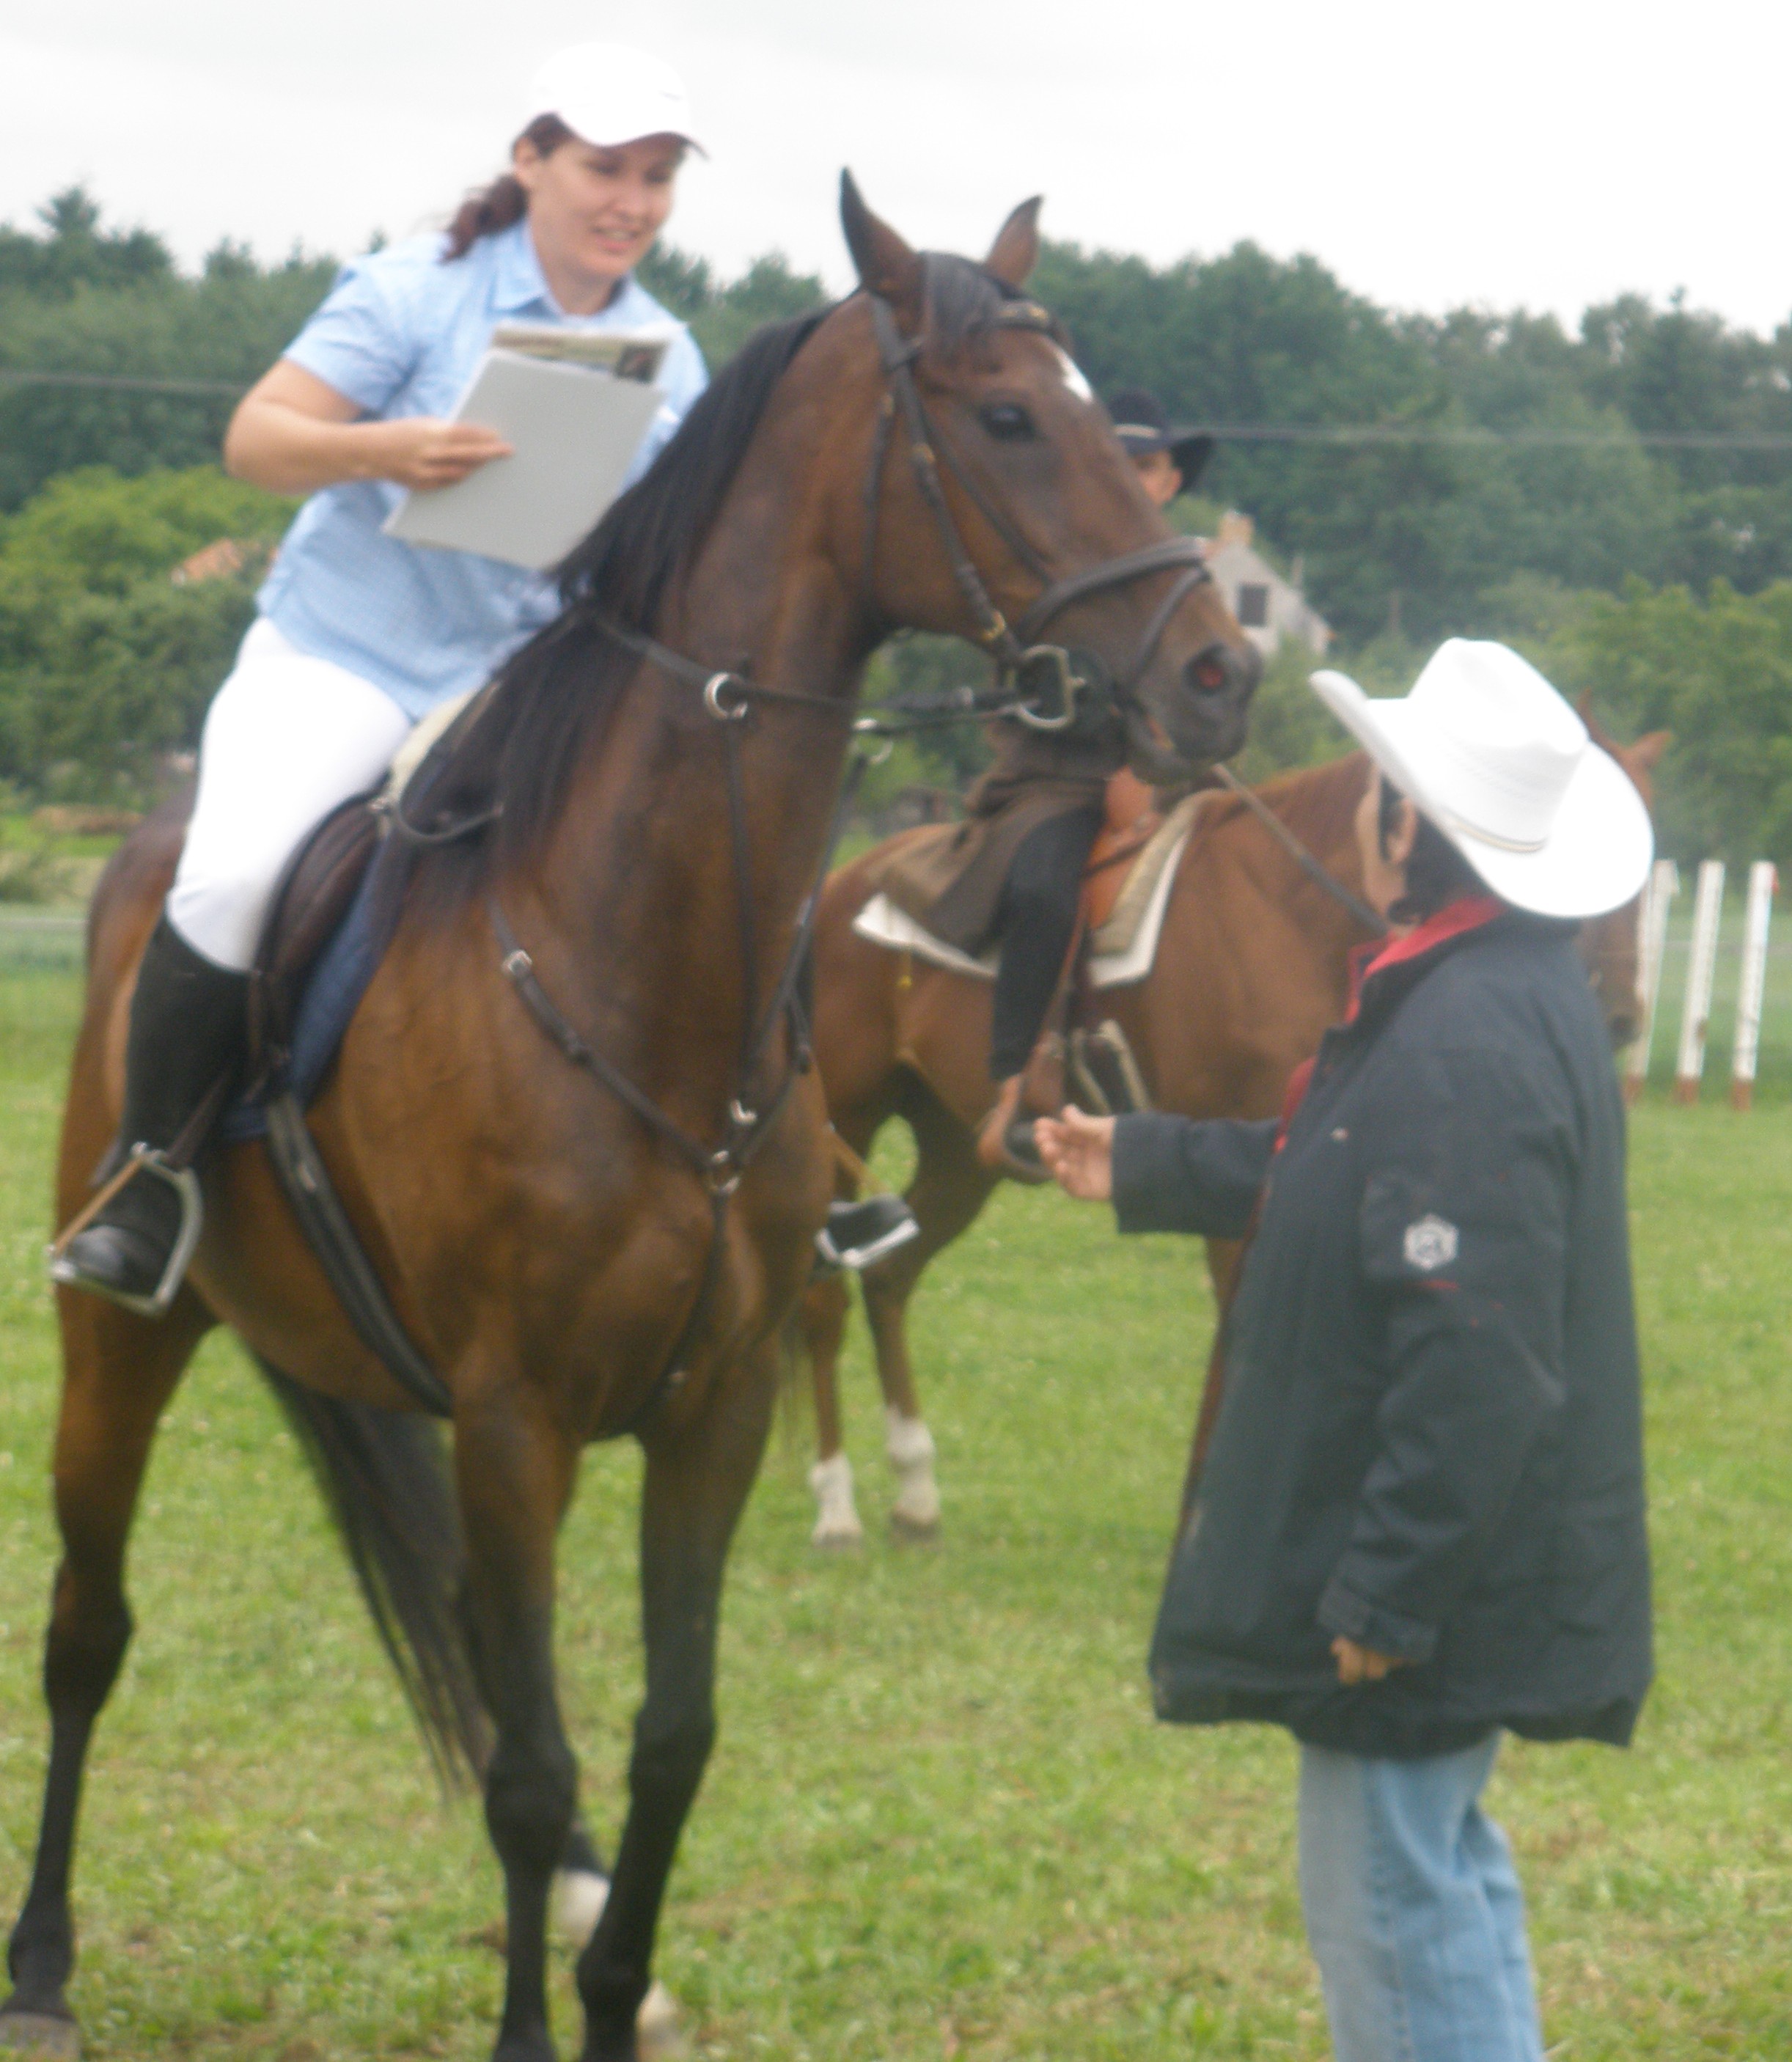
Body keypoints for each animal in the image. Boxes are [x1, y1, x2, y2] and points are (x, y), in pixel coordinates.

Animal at [0, 177, 1262, 2062]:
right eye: (1007, 420)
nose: (1222, 672)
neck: (627, 958)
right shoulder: (516, 1414)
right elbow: (529, 1765)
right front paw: (538, 2023)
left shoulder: (709, 1405)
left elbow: (671, 1732)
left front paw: (612, 1974)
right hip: (125, 1335)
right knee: (90, 1625)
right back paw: (44, 1964)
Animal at [796, 717, 1666, 1542]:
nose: (1619, 1015)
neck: (1288, 910)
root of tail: (840, 886)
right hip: (843, 1126)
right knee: (822, 1295)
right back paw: (836, 1507)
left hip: (959, 1150)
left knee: (888, 1277)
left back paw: (915, 1495)